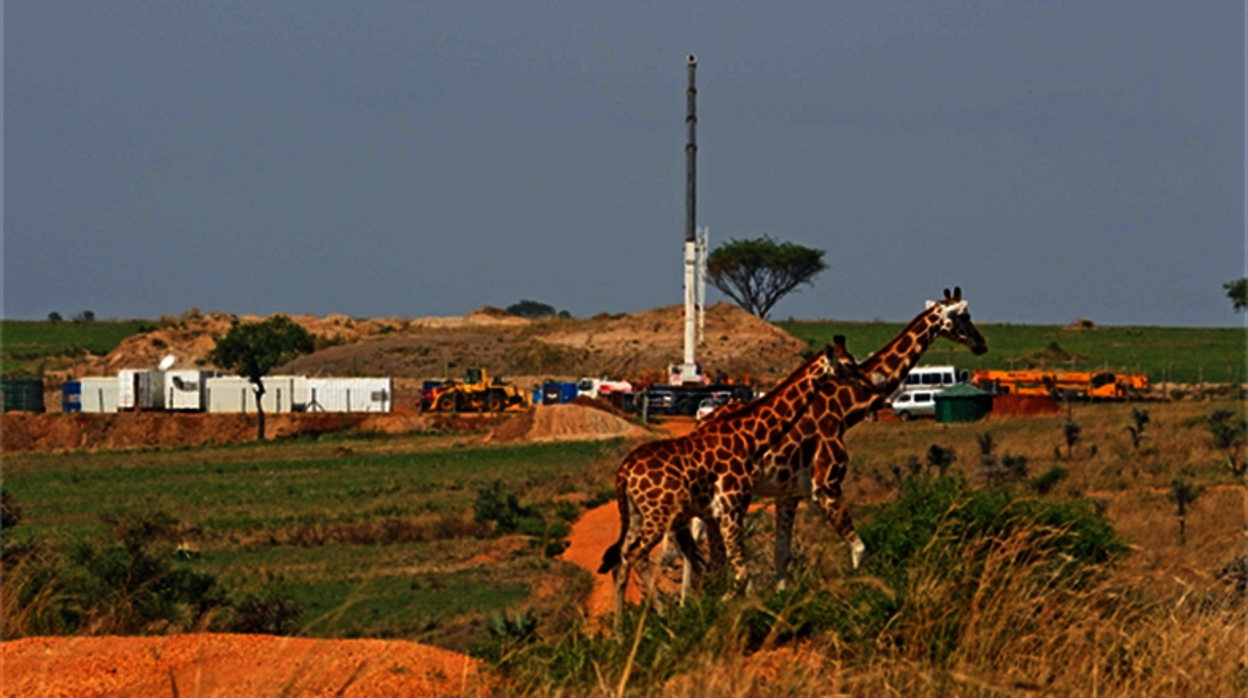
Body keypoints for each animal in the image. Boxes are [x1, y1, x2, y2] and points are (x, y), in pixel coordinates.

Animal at [596, 342, 878, 634]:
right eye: (848, 363)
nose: (867, 383)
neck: (749, 439)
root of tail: (624, 472)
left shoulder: (720, 513)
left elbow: (727, 570)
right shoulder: (732, 507)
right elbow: (740, 573)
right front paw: (711, 615)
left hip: (636, 515)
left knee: (622, 558)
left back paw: (620, 633)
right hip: (658, 516)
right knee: (634, 554)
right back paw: (658, 619)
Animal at [678, 287, 988, 591]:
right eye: (965, 316)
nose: (982, 344)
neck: (843, 409)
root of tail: (697, 424)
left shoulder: (789, 492)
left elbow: (782, 553)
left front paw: (781, 600)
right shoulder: (826, 487)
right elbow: (859, 550)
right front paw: (857, 595)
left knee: (694, 541)